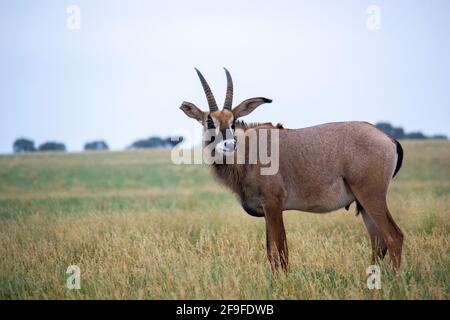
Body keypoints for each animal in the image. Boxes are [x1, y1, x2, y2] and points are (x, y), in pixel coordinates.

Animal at [178, 69, 404, 272]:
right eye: (209, 121)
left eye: (233, 121)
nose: (229, 145)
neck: (249, 152)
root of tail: (388, 138)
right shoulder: (267, 210)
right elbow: (271, 253)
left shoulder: (273, 204)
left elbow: (280, 252)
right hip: (363, 203)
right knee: (378, 242)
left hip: (371, 196)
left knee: (394, 237)